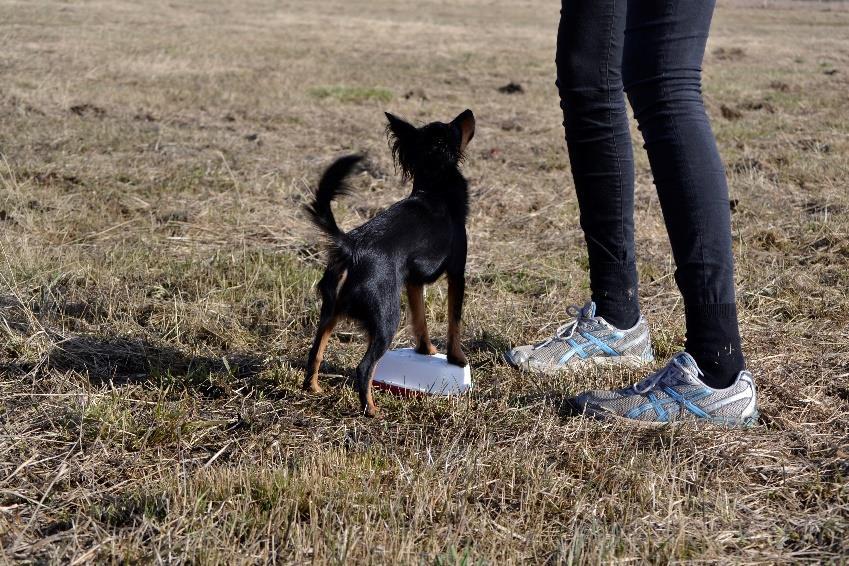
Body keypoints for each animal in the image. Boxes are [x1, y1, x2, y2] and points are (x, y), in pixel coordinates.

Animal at [304, 110, 476, 418]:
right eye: (456, 127)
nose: (468, 112)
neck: (434, 187)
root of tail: (351, 246)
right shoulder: (458, 274)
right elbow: (454, 321)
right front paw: (457, 358)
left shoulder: (413, 281)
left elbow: (420, 319)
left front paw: (426, 350)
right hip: (387, 317)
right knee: (364, 368)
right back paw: (371, 410)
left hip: (330, 311)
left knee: (316, 351)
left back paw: (313, 388)